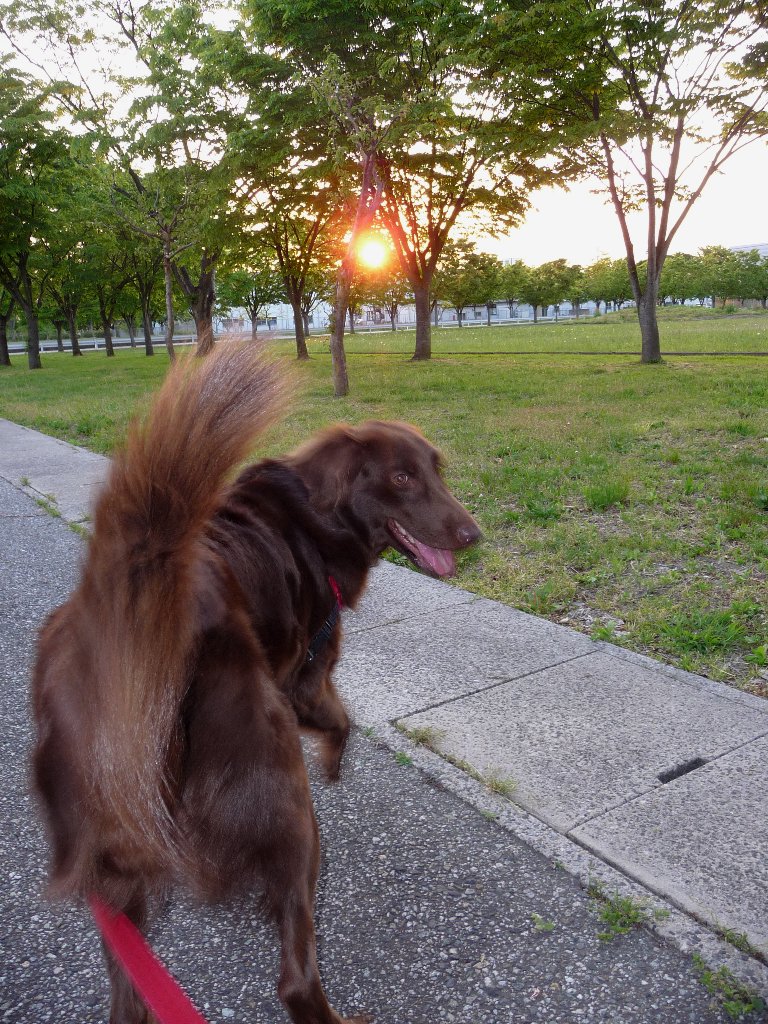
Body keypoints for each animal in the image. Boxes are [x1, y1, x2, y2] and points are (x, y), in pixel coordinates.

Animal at [31, 344, 480, 1024]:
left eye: (436, 471)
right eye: (401, 478)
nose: (472, 535)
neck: (314, 517)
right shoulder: (303, 675)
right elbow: (342, 720)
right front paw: (335, 766)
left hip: (111, 862)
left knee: (130, 994)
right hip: (284, 797)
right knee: (294, 974)